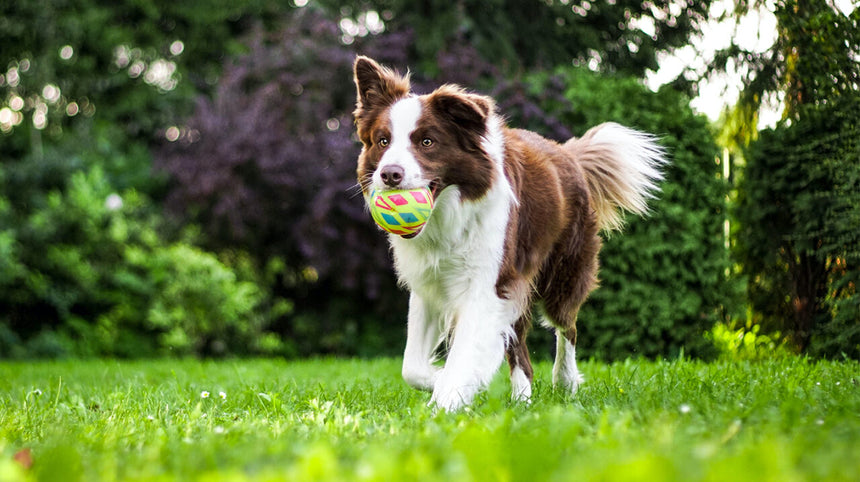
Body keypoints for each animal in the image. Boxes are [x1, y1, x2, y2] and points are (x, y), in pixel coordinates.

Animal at [350, 56, 664, 410]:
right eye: (383, 141)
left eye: (427, 142)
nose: (389, 174)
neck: (448, 216)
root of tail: (568, 153)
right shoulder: (430, 283)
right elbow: (412, 367)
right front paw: (444, 381)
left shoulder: (488, 283)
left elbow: (464, 353)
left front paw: (447, 400)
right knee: (521, 349)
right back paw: (522, 400)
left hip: (562, 272)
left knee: (567, 326)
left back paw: (565, 381)